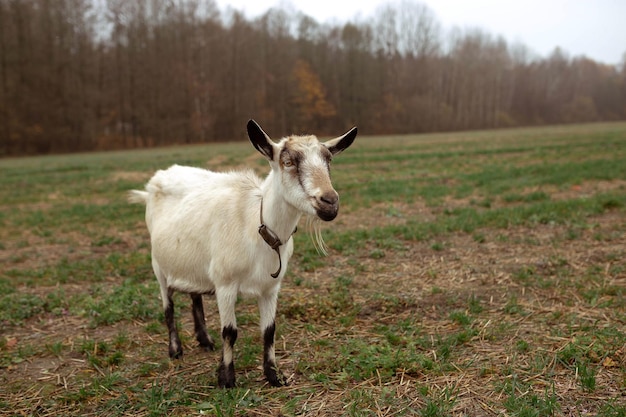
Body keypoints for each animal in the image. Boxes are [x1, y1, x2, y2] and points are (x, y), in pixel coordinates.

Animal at [128, 119, 356, 386]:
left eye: (328, 160)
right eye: (288, 162)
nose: (329, 202)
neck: (256, 225)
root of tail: (155, 181)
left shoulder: (271, 288)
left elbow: (269, 330)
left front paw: (274, 375)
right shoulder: (225, 284)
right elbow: (230, 332)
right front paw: (227, 379)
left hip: (193, 264)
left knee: (194, 297)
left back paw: (205, 341)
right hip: (158, 266)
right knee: (168, 306)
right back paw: (175, 350)